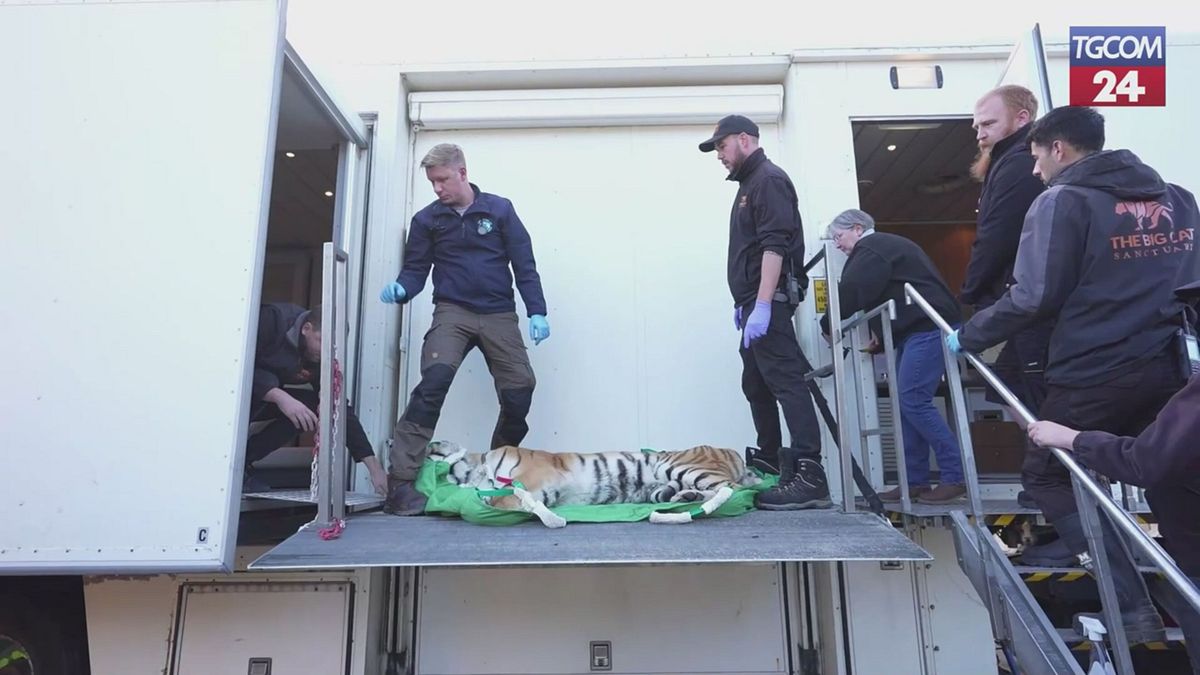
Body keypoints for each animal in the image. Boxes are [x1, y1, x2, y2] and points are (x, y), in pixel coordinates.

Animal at [427, 441, 762, 528]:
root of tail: (732, 452)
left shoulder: (535, 474)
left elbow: (508, 496)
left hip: (676, 465)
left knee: (732, 489)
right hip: (660, 484)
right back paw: (681, 498)